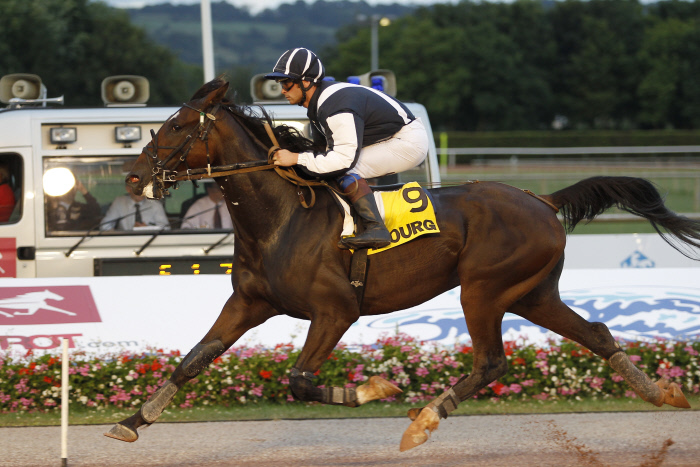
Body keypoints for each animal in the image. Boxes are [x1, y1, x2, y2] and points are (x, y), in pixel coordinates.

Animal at [104, 78, 696, 452]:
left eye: (178, 125)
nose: (133, 178)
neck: (281, 218)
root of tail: (541, 199)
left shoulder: (336, 310)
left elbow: (299, 380)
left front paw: (377, 389)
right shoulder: (250, 302)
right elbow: (192, 360)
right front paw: (132, 421)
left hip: (483, 289)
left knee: (491, 362)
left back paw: (424, 421)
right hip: (532, 292)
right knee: (595, 332)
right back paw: (661, 392)